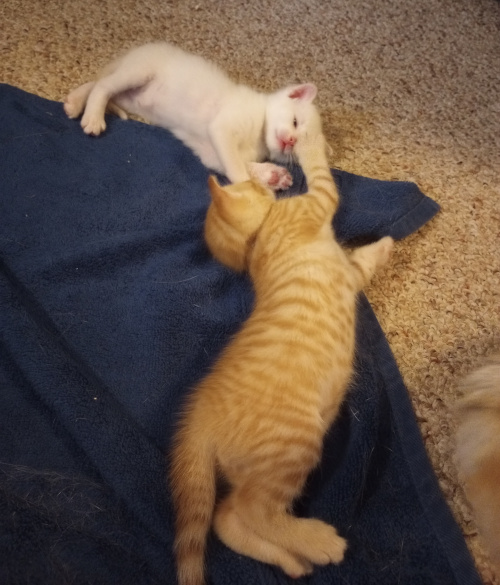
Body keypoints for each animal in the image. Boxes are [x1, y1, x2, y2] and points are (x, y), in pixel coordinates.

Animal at [63, 42, 320, 190]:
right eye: (294, 122)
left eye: (298, 145)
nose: (290, 141)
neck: (258, 135)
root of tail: (135, 51)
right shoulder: (223, 127)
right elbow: (237, 170)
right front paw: (252, 190)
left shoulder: (210, 151)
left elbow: (238, 164)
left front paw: (271, 175)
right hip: (139, 71)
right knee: (102, 85)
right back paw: (92, 116)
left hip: (129, 96)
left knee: (99, 84)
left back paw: (76, 102)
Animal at [170, 123, 392, 584]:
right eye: (251, 183)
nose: (265, 178)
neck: (257, 246)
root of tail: (198, 418)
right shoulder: (319, 202)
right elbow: (320, 172)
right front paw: (307, 137)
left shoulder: (348, 272)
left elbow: (361, 261)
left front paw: (382, 248)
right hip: (292, 447)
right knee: (253, 510)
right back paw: (319, 542)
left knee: (226, 518)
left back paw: (292, 560)